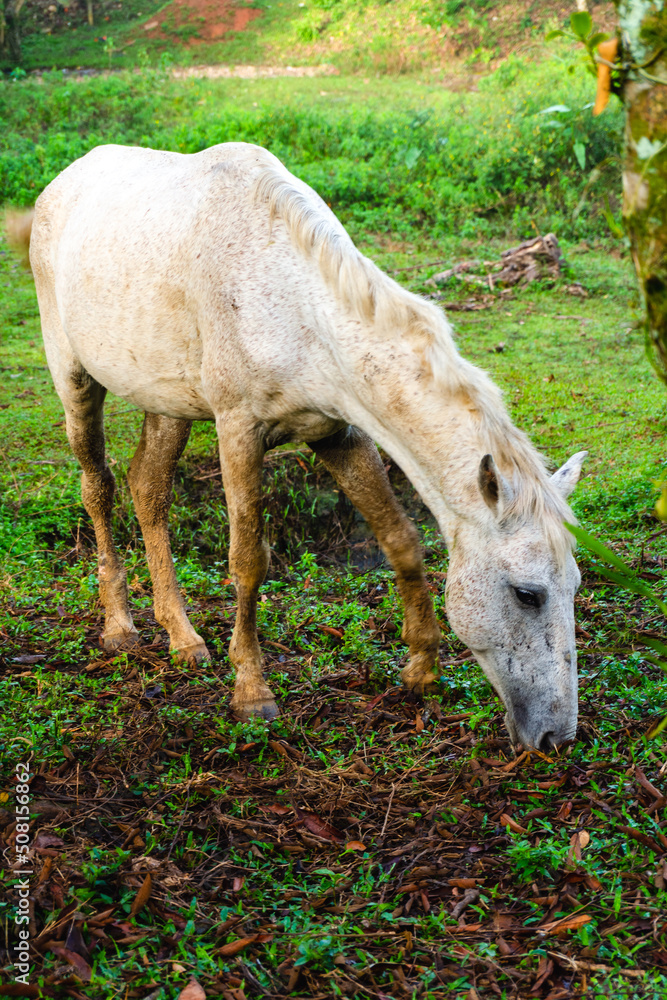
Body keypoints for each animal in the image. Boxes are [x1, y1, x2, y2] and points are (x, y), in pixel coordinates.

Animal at [10, 141, 587, 749]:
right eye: (527, 594)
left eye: (574, 585)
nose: (558, 736)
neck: (295, 302)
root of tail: (61, 184)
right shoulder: (239, 431)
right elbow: (248, 562)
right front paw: (251, 691)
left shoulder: (338, 434)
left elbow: (401, 540)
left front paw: (420, 669)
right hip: (75, 381)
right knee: (98, 488)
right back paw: (120, 628)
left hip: (167, 403)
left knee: (148, 490)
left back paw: (183, 637)